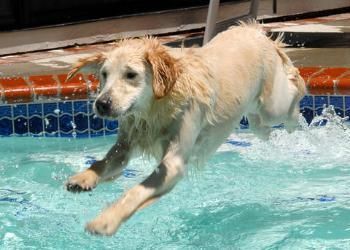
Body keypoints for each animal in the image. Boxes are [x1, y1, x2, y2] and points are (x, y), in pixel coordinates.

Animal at [65, 22, 306, 235]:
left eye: (131, 74)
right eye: (104, 74)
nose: (101, 104)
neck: (155, 107)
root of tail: (252, 29)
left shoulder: (174, 161)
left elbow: (135, 192)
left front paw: (106, 220)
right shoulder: (126, 143)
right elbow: (105, 162)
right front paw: (84, 178)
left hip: (273, 105)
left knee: (294, 91)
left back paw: (298, 119)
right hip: (255, 113)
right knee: (260, 125)